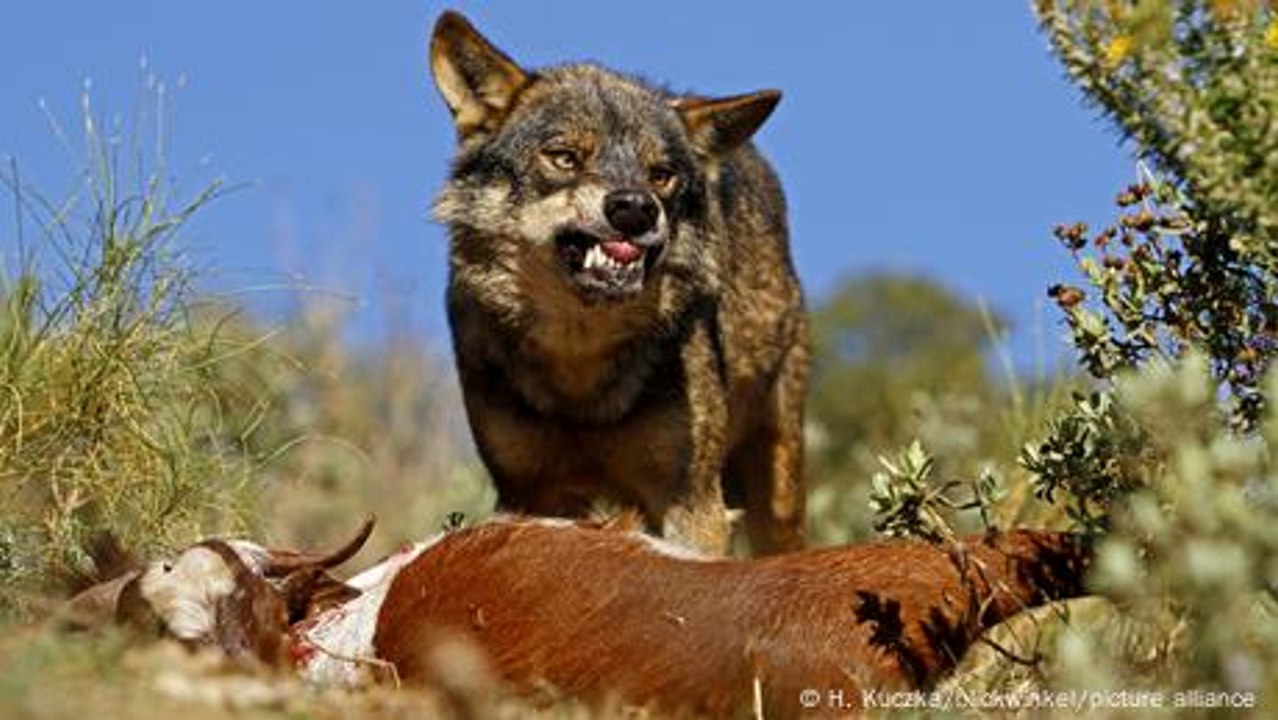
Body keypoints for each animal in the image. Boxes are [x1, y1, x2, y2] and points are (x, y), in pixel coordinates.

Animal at [429, 11, 809, 554]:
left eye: (662, 175)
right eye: (564, 157)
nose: (634, 208)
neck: (580, 375)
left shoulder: (693, 502)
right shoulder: (529, 494)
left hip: (777, 486)